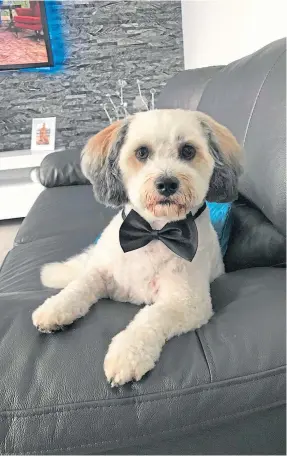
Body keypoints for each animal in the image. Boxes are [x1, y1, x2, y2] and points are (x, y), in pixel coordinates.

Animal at [32, 108, 243, 386]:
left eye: (188, 150)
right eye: (142, 152)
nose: (167, 183)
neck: (154, 232)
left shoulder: (187, 301)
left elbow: (151, 317)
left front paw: (126, 355)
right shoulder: (102, 272)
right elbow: (80, 285)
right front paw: (55, 308)